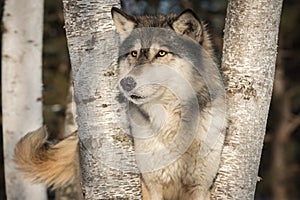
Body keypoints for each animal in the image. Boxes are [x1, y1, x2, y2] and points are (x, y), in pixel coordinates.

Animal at [14, 7, 225, 199]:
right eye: (134, 54)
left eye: (161, 53)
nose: (127, 82)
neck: (170, 124)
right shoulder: (151, 186)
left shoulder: (200, 187)